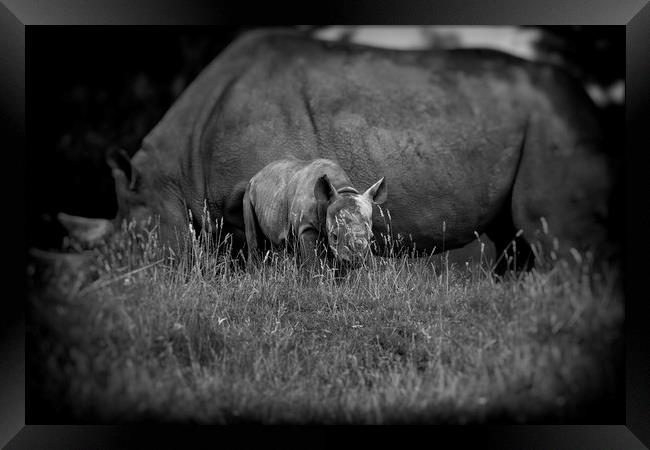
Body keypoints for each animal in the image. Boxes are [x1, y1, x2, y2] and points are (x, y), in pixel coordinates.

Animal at [243, 156, 384, 266]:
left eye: (371, 237)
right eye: (334, 236)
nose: (355, 260)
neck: (342, 190)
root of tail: (256, 175)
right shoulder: (307, 227)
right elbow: (313, 261)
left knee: (279, 243)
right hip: (248, 192)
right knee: (254, 243)